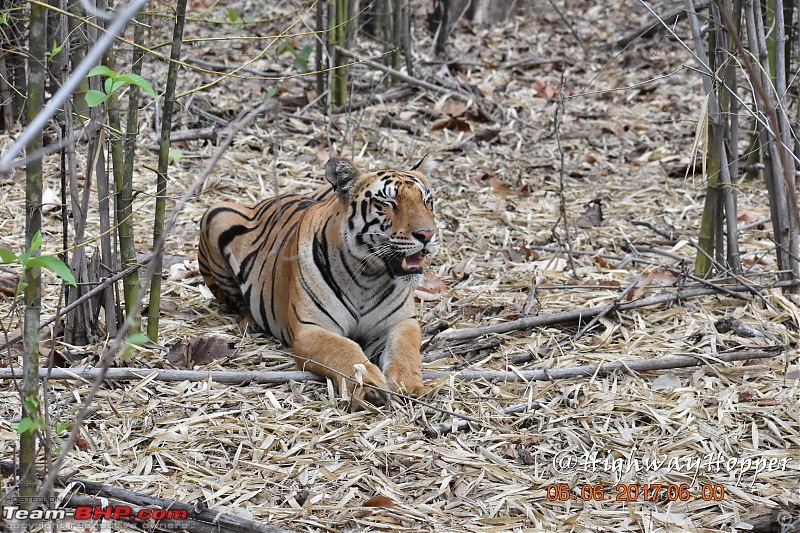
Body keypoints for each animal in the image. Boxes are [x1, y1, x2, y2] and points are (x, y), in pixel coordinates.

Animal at [198, 156, 438, 406]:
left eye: (427, 201)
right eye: (388, 203)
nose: (428, 234)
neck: (368, 277)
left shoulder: (401, 323)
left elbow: (404, 352)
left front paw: (411, 387)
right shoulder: (311, 329)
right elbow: (344, 349)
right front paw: (368, 386)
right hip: (215, 214)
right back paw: (250, 323)